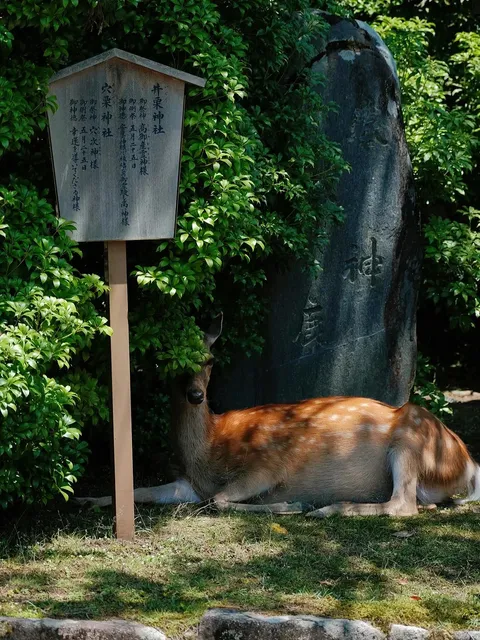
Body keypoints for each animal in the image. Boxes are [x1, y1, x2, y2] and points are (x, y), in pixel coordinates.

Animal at [77, 314, 480, 517]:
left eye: (209, 360)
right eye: (169, 362)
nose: (195, 395)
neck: (209, 450)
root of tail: (468, 464)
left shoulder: (267, 463)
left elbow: (218, 500)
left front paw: (291, 504)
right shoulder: (188, 483)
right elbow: (139, 490)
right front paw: (85, 499)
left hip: (412, 439)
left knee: (404, 505)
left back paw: (325, 509)